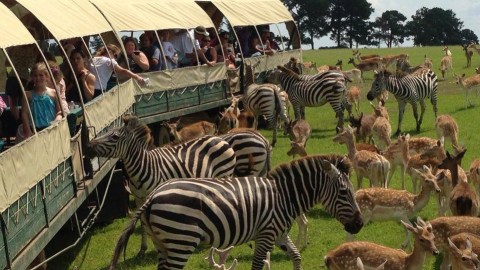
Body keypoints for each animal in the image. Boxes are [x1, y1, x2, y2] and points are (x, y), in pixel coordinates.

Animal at [87, 114, 237, 258]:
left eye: (115, 136)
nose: (88, 146)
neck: (143, 166)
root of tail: (219, 138)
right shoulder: (139, 199)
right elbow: (142, 223)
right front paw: (143, 249)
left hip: (224, 173)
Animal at [109, 154, 364, 270]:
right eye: (344, 192)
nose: (360, 225)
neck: (284, 195)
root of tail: (153, 195)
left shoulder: (279, 234)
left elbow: (296, 256)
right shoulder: (265, 235)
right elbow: (257, 266)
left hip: (164, 243)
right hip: (182, 240)